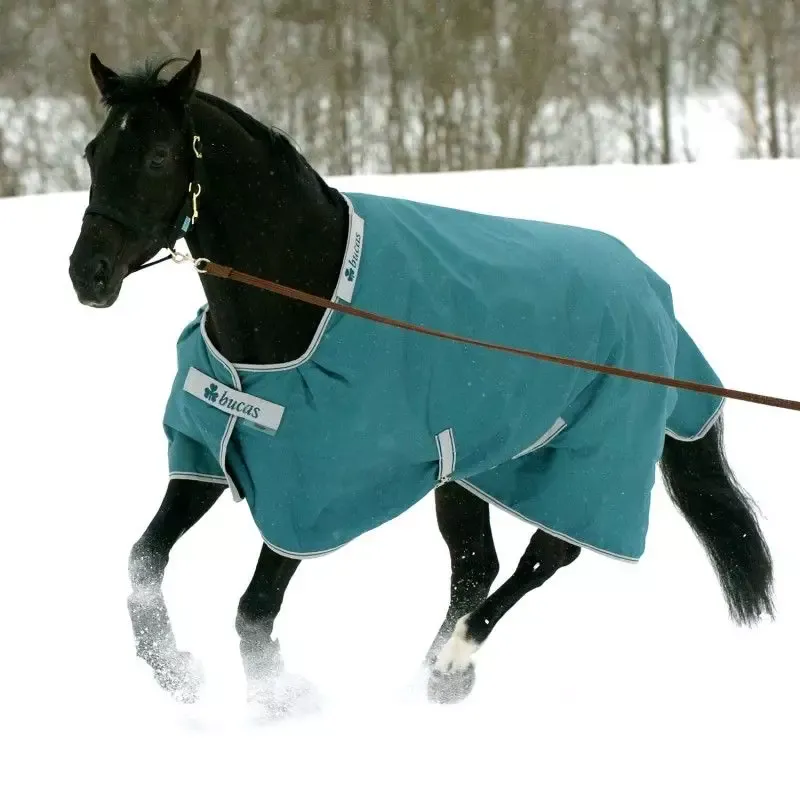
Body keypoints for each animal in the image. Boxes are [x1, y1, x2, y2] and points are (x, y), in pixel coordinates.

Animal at [67, 50, 775, 714]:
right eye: (93, 151)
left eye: (159, 156)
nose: (87, 273)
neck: (303, 303)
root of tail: (654, 292)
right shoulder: (209, 454)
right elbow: (142, 562)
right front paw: (175, 669)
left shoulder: (316, 492)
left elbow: (254, 607)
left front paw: (275, 696)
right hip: (466, 466)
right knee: (476, 565)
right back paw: (433, 677)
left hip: (589, 464)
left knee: (544, 557)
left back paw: (452, 664)